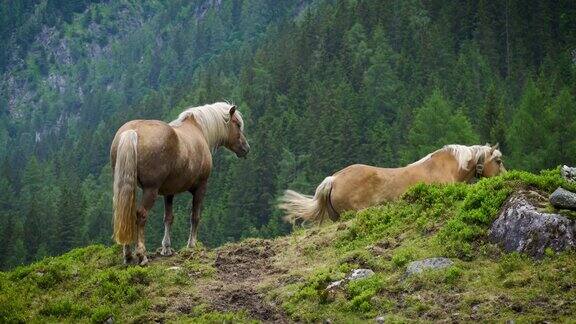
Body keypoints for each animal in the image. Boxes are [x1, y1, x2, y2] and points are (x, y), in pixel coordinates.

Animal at [110, 102, 250, 264]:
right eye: (238, 124)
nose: (246, 148)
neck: (198, 129)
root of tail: (132, 131)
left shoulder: (169, 192)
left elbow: (168, 218)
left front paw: (166, 248)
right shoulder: (201, 187)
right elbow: (195, 216)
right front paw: (191, 244)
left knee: (126, 213)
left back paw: (128, 255)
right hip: (150, 190)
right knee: (141, 215)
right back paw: (141, 254)